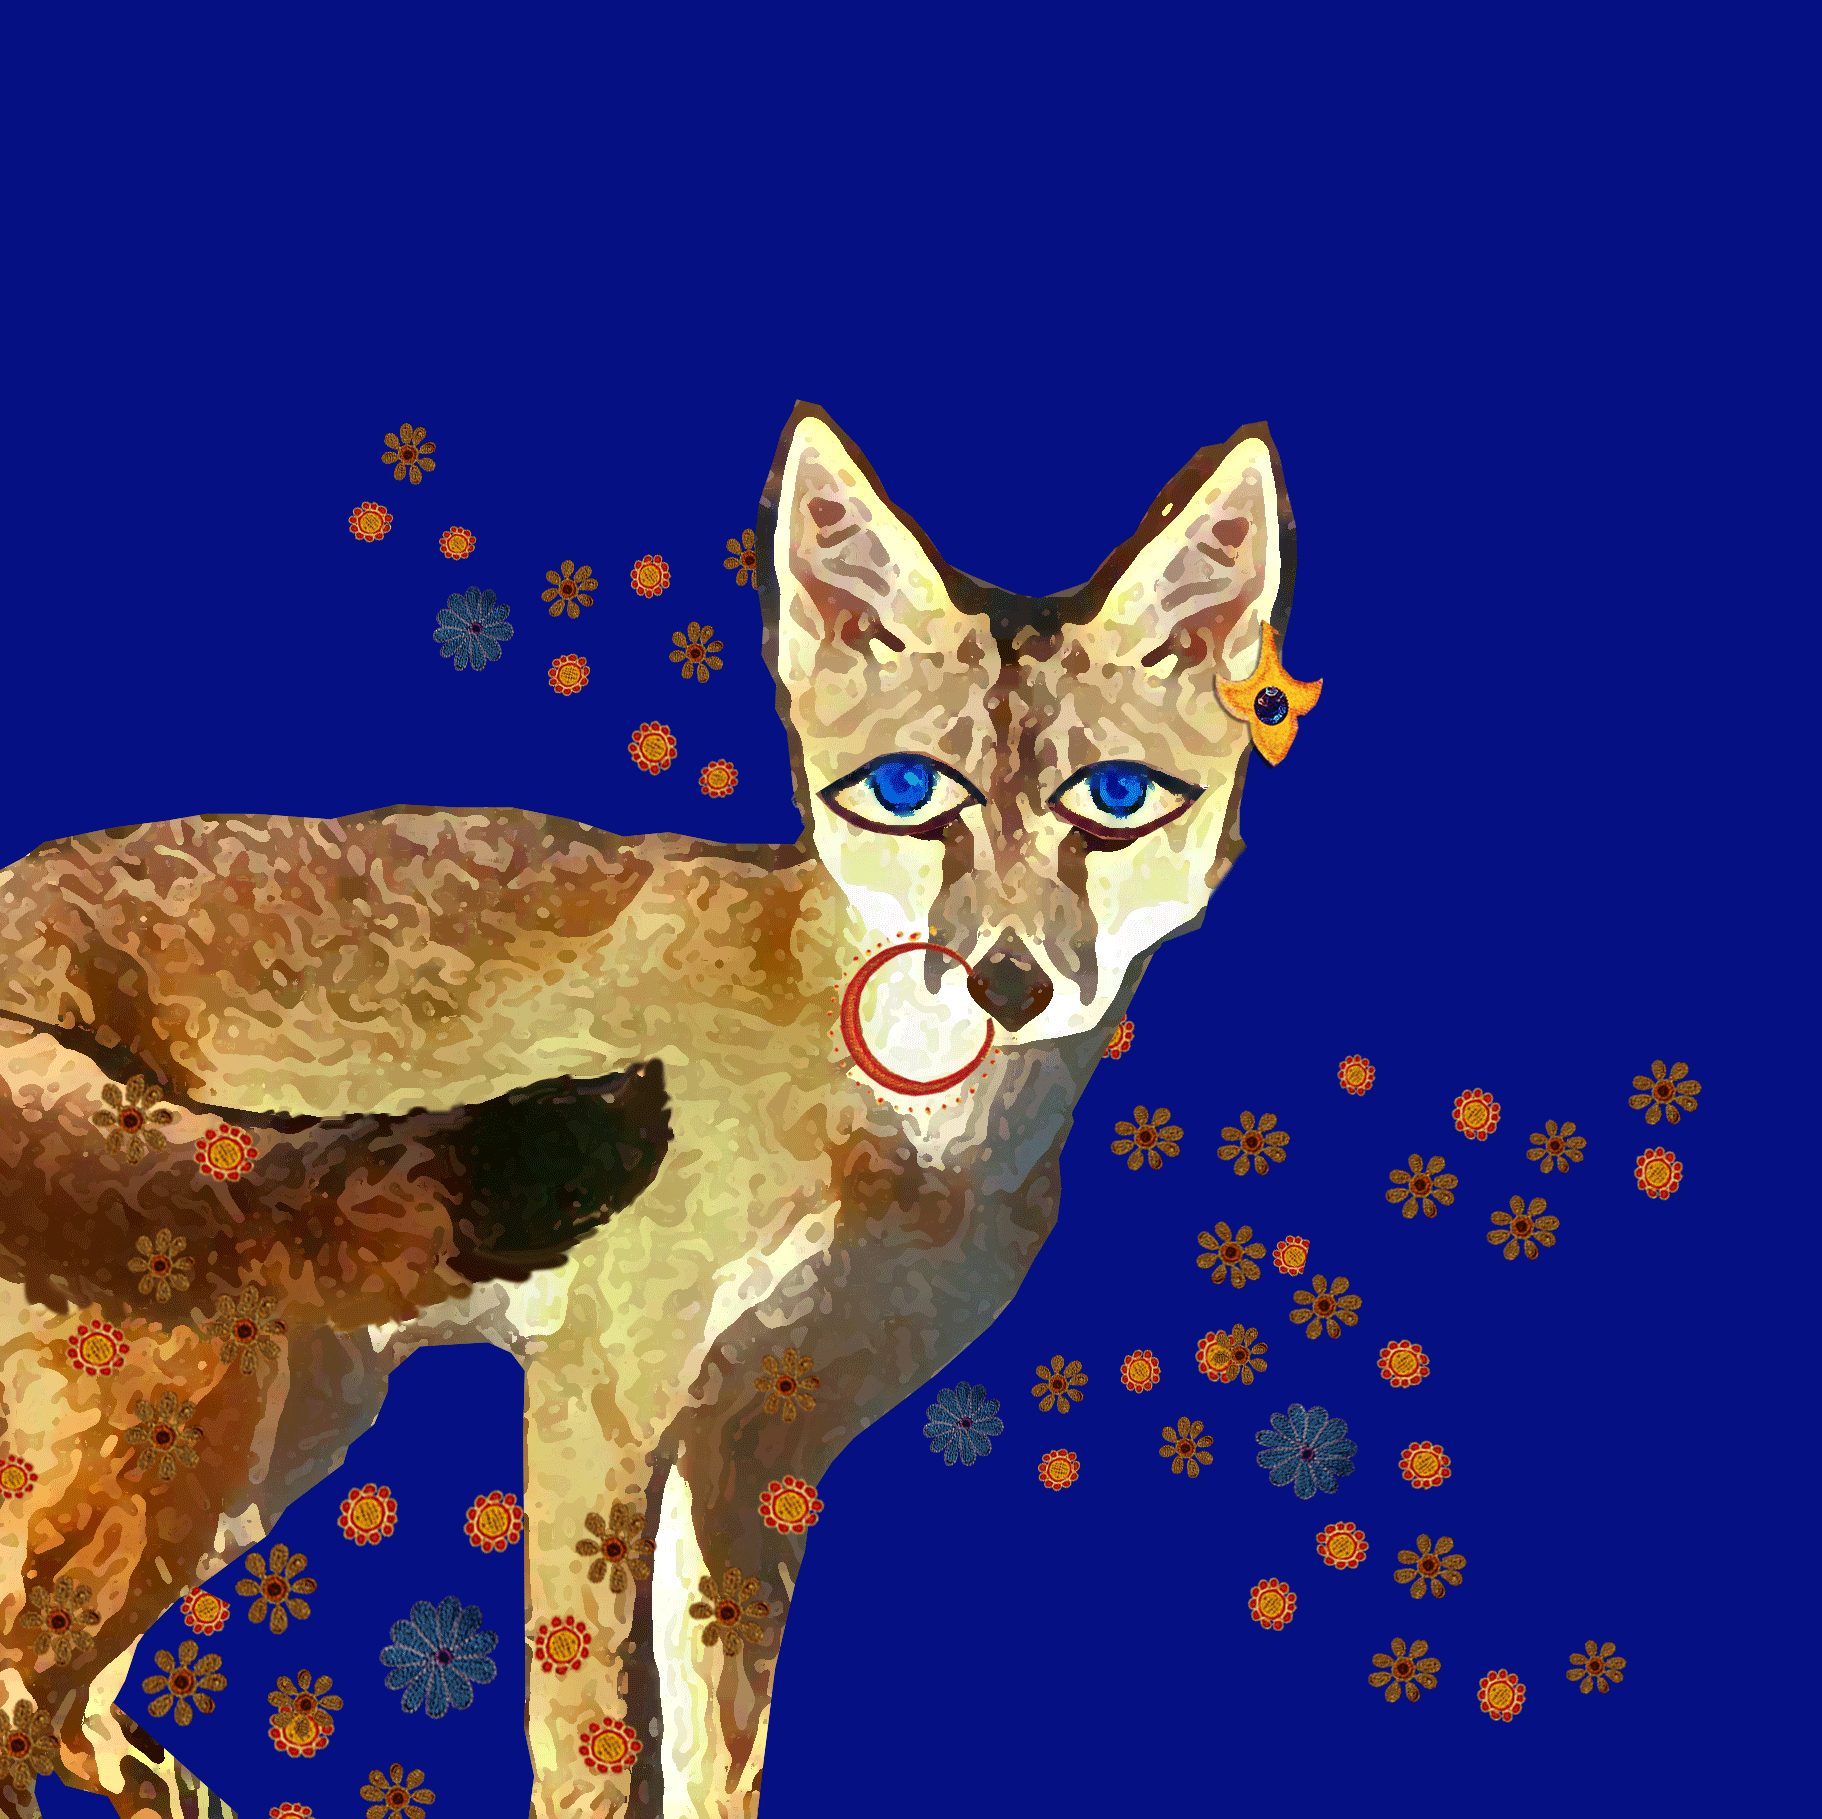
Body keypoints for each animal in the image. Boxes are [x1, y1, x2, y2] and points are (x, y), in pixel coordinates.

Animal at [0, 402, 1305, 1818]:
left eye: (1114, 801)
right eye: (910, 793)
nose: (1004, 981)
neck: (901, 1138)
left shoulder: (756, 1457)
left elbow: (715, 1760)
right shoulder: (597, 1406)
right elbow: (591, 1751)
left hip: (272, 1425)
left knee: (69, 1694)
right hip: (191, 1411)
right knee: (22, 1683)